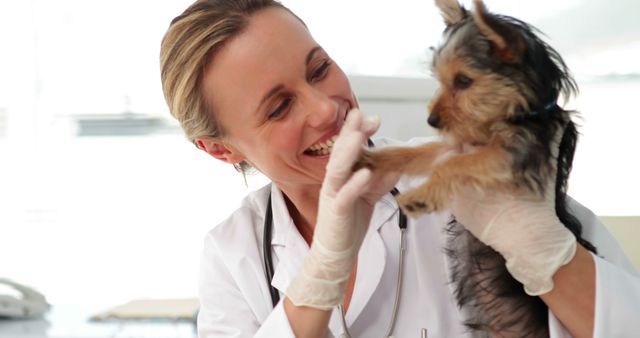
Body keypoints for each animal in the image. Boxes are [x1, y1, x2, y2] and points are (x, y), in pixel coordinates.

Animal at [358, 0, 596, 336]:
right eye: (441, 78)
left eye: (463, 81)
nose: (431, 120)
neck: (513, 112)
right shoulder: (454, 144)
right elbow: (416, 152)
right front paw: (377, 158)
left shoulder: (514, 155)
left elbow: (456, 164)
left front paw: (421, 196)